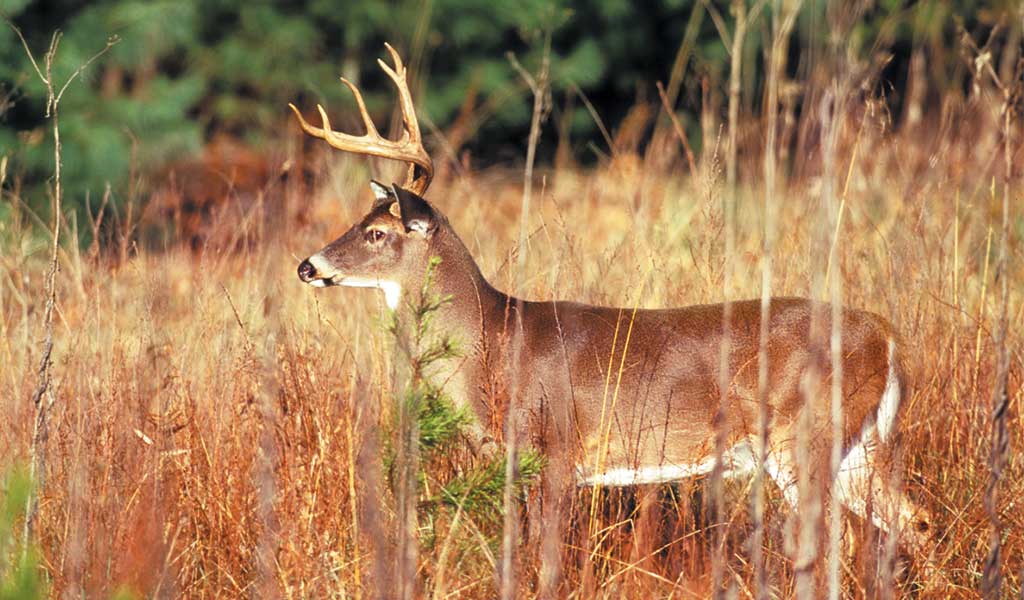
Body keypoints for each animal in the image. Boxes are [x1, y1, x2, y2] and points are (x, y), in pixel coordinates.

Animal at [291, 44, 938, 590]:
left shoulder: (554, 447)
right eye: (359, 222)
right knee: (915, 520)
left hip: (803, 433)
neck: (491, 344)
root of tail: (888, 338)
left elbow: (544, 558)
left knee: (834, 537)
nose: (307, 265)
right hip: (857, 442)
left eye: (377, 233)